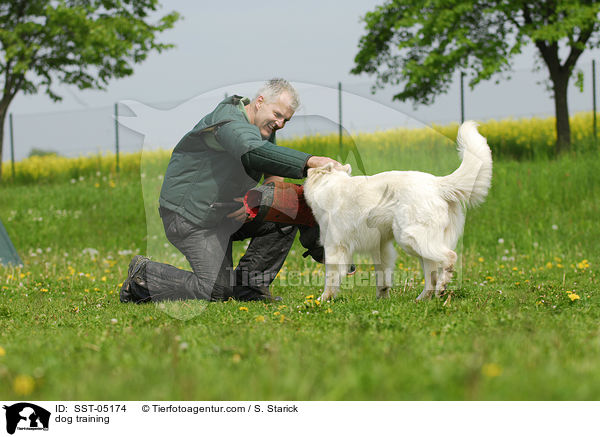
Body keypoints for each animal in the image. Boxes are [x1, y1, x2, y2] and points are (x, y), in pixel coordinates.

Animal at [304, 121, 492, 302]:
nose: (306, 169)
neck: (328, 185)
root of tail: (437, 183)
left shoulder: (334, 246)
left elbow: (331, 277)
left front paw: (323, 299)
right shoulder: (380, 247)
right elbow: (382, 277)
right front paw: (382, 298)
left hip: (410, 238)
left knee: (449, 258)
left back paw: (441, 287)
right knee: (431, 274)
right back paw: (422, 298)